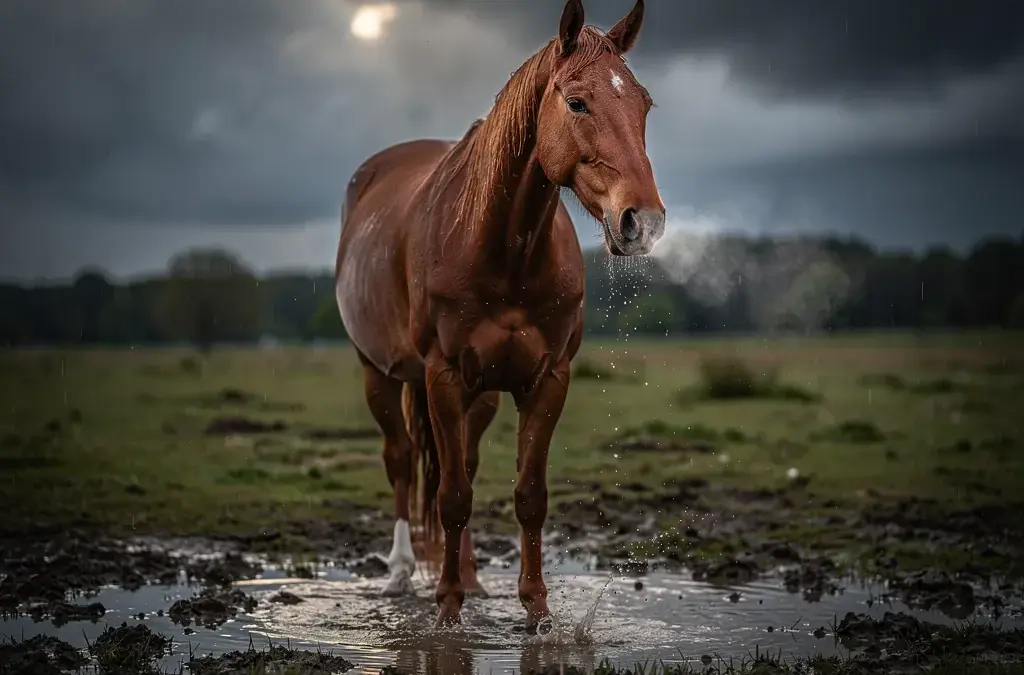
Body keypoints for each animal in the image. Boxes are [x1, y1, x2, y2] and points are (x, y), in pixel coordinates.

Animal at [334, 0, 664, 630]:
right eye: (577, 101)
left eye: (644, 105)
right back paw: (400, 573)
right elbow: (451, 497)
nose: (644, 222)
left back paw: (469, 576)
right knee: (402, 460)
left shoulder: (547, 379)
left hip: (480, 393)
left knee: (460, 459)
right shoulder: (440, 376)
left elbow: (527, 496)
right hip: (378, 374)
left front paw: (535, 611)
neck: (503, 250)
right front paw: (446, 611)